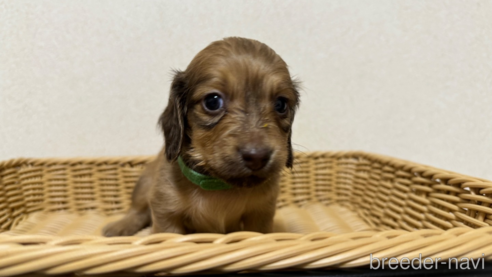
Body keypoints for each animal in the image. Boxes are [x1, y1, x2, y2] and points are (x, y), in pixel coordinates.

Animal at [104, 37, 300, 235]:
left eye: (281, 104)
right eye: (212, 101)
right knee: (138, 210)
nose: (257, 157)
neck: (217, 185)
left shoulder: (261, 214)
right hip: (145, 182)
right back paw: (120, 226)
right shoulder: (166, 213)